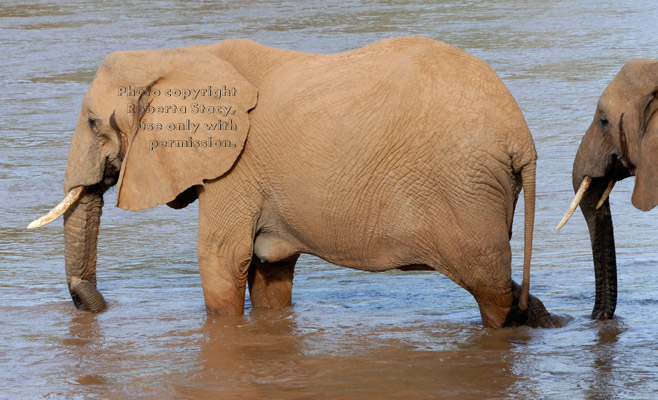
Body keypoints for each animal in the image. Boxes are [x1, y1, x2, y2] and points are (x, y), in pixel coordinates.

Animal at [28, 36, 556, 328]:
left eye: (94, 123)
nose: (94, 305)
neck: (176, 57)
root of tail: (522, 138)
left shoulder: (236, 168)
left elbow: (222, 260)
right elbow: (268, 271)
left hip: (464, 192)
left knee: (490, 291)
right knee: (505, 290)